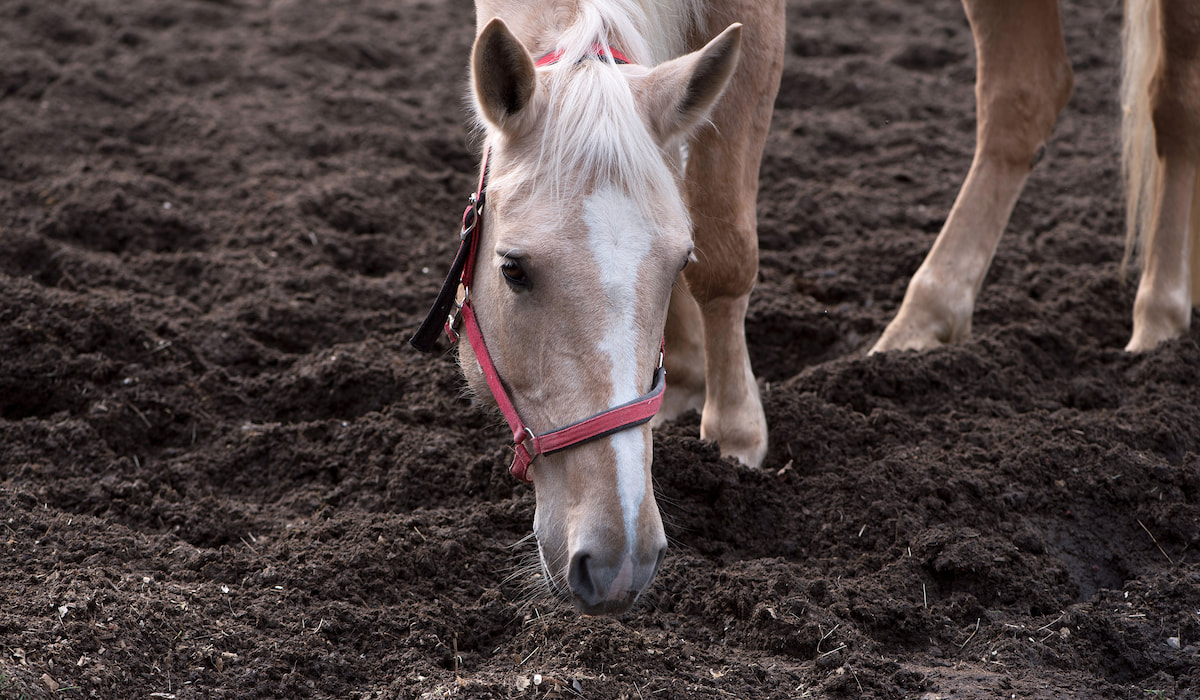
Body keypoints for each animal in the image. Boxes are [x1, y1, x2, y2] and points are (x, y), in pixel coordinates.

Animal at [411, 0, 783, 614]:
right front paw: (686, 378)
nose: (619, 561)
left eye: (678, 263)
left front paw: (735, 436)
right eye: (513, 269)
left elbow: (724, 249)